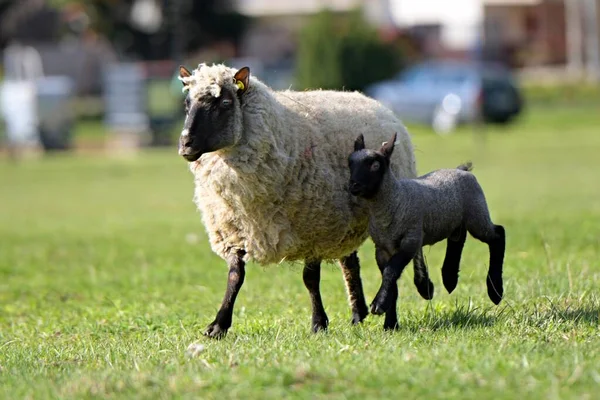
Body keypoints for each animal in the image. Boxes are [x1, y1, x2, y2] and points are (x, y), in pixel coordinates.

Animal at [176, 64, 434, 340]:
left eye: (224, 103)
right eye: (187, 103)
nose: (185, 144)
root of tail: (371, 100)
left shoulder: (314, 228)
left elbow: (310, 279)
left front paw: (318, 323)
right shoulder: (235, 230)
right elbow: (236, 276)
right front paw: (218, 325)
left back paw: (413, 296)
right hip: (345, 222)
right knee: (350, 262)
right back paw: (358, 313)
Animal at [346, 133, 506, 330]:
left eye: (375, 165)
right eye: (350, 163)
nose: (353, 185)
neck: (394, 199)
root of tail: (462, 170)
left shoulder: (411, 239)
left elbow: (391, 272)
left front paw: (379, 305)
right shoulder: (382, 249)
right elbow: (391, 283)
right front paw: (390, 324)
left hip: (477, 213)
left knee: (498, 235)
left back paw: (495, 291)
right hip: (456, 219)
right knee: (458, 238)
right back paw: (449, 277)